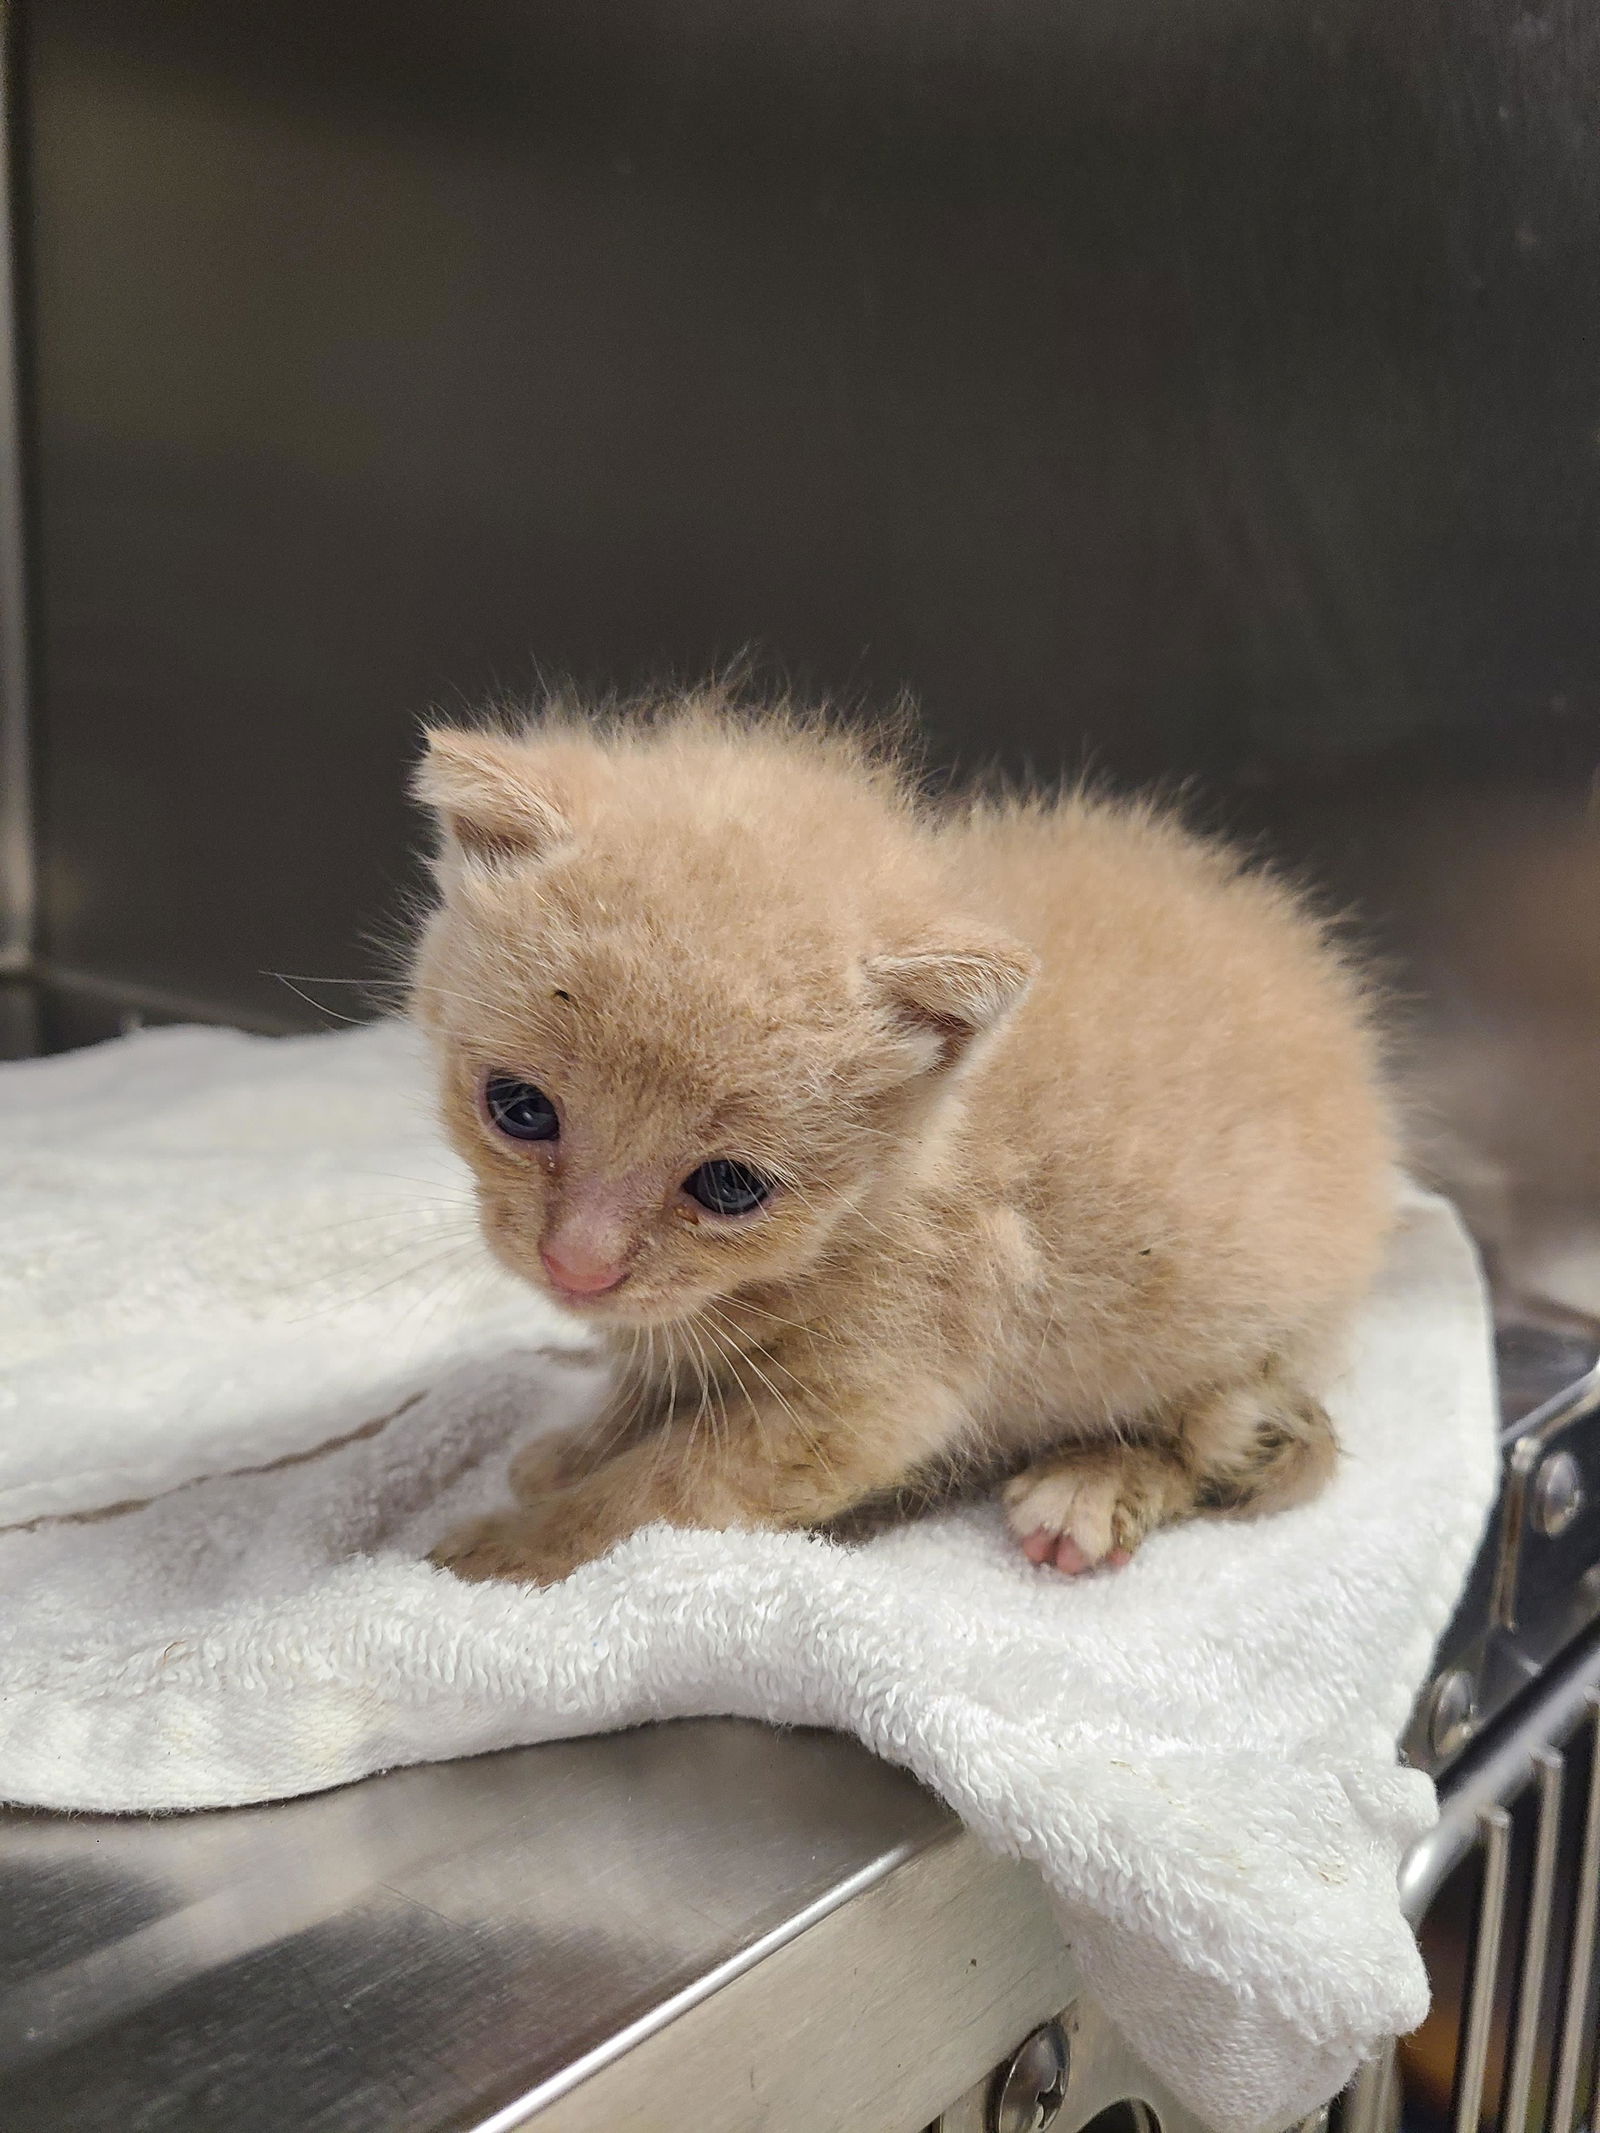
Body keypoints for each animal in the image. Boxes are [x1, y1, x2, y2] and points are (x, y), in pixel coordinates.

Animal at [409, 695, 1390, 1586]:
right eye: (518, 1108)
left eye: (729, 1186)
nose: (574, 1267)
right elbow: (651, 1379)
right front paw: (579, 1448)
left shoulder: (883, 1379)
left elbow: (665, 1487)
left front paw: (511, 1550)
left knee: (1236, 1439)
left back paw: (1088, 1491)